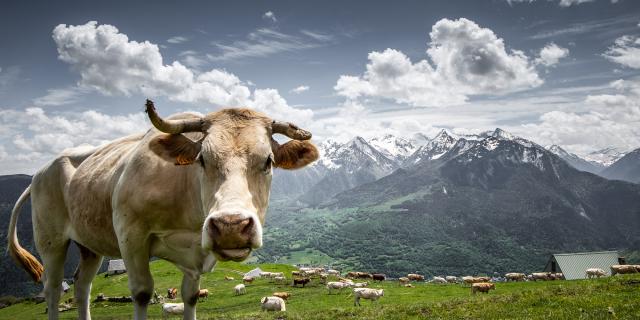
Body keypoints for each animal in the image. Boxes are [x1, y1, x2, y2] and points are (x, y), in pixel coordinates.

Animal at [7, 100, 318, 320]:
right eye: (202, 159)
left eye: (268, 161)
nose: (231, 226)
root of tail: (41, 171)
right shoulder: (130, 235)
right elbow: (143, 292)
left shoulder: (195, 255)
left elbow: (190, 296)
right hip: (50, 239)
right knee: (52, 290)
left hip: (89, 245)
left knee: (82, 286)